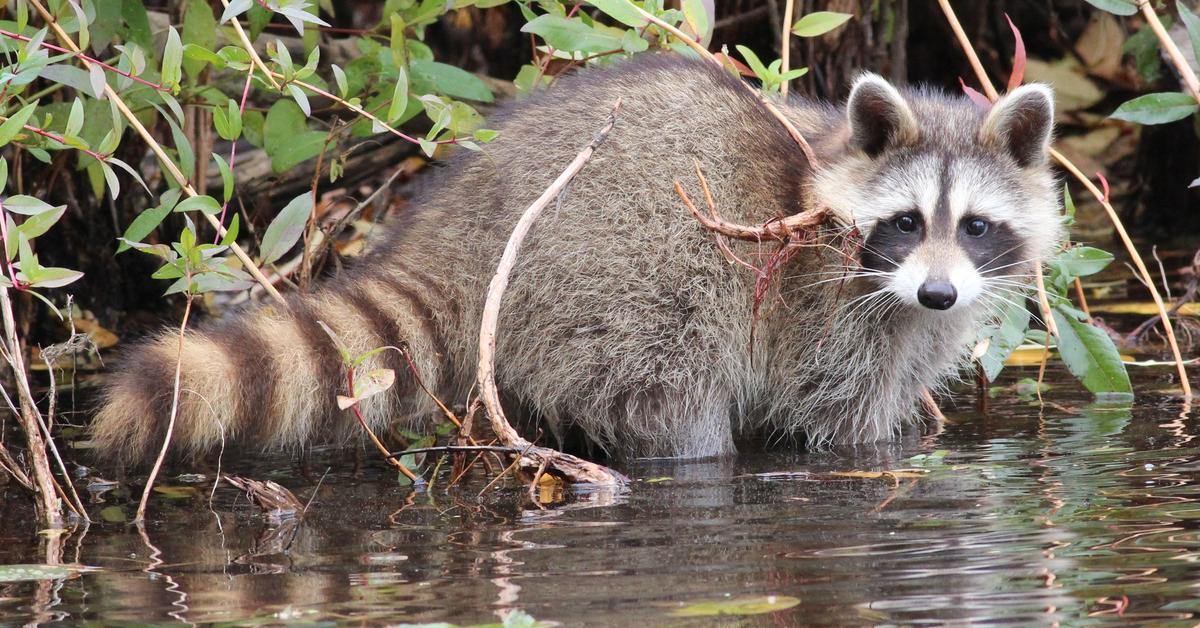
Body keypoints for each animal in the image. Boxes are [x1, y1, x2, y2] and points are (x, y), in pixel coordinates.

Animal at [91, 56, 1060, 463]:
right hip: (622, 274)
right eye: (906, 221)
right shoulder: (821, 308)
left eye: (976, 227)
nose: (939, 295)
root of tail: (469, 220)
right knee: (673, 398)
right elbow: (839, 419)